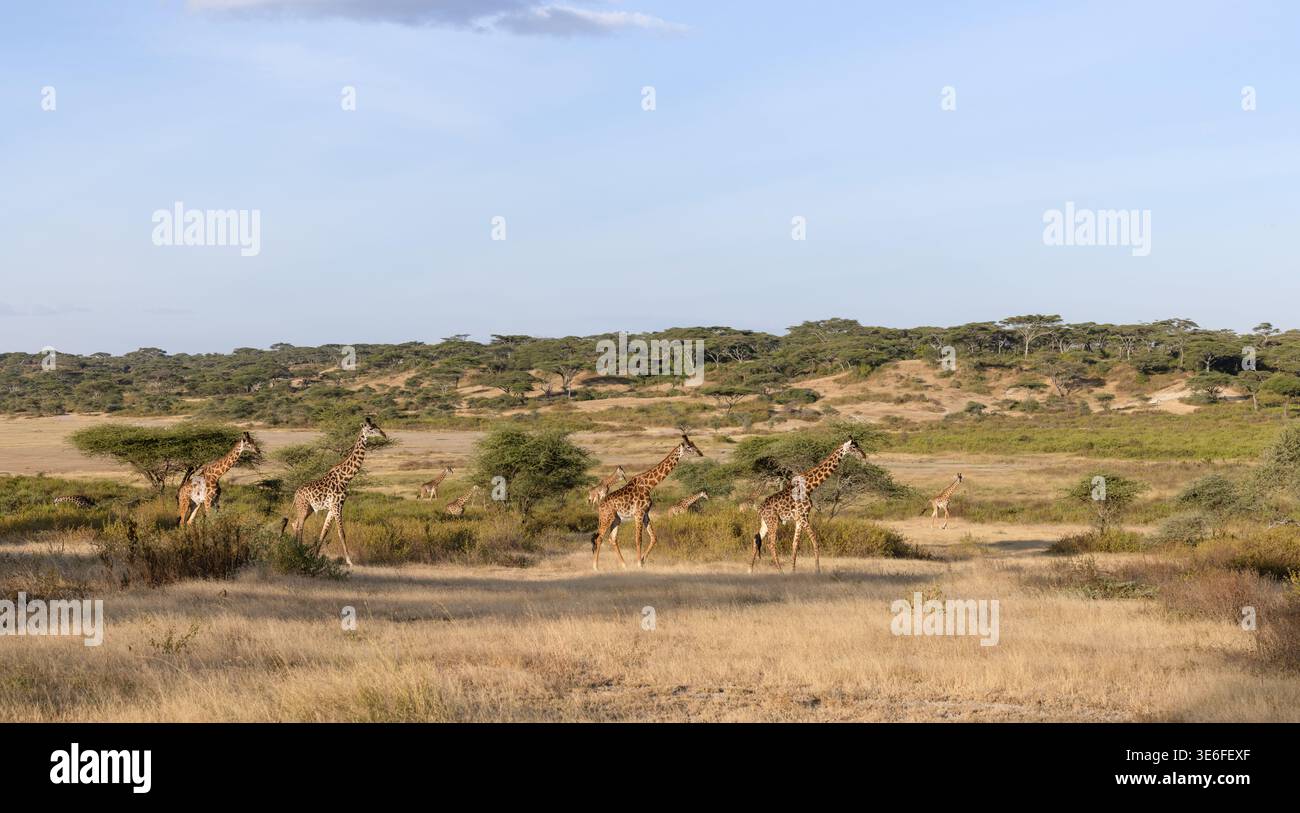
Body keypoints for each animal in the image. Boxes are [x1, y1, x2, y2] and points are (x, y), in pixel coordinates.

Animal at [285, 417, 386, 566]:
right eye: (370, 428)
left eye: (377, 425)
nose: (384, 435)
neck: (346, 478)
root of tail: (295, 494)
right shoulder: (337, 505)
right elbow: (341, 533)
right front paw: (350, 561)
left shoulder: (332, 507)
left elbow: (324, 532)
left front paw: (315, 556)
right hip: (303, 507)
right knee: (300, 526)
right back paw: (298, 551)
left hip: (308, 508)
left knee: (295, 523)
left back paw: (297, 549)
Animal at [591, 434, 704, 570]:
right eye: (688, 447)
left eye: (694, 444)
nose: (700, 453)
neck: (649, 485)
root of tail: (600, 506)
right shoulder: (638, 513)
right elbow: (638, 539)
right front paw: (639, 563)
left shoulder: (645, 513)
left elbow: (654, 537)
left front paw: (643, 560)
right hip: (607, 517)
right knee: (599, 538)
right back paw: (595, 567)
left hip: (616, 519)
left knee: (612, 539)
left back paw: (624, 565)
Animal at [750, 438, 866, 574]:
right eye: (853, 447)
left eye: (857, 445)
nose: (864, 456)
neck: (810, 486)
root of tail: (760, 509)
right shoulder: (804, 516)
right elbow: (815, 541)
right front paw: (817, 570)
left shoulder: (799, 519)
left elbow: (795, 545)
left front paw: (793, 571)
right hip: (773, 521)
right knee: (771, 544)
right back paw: (780, 572)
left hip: (765, 522)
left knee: (756, 540)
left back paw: (750, 570)